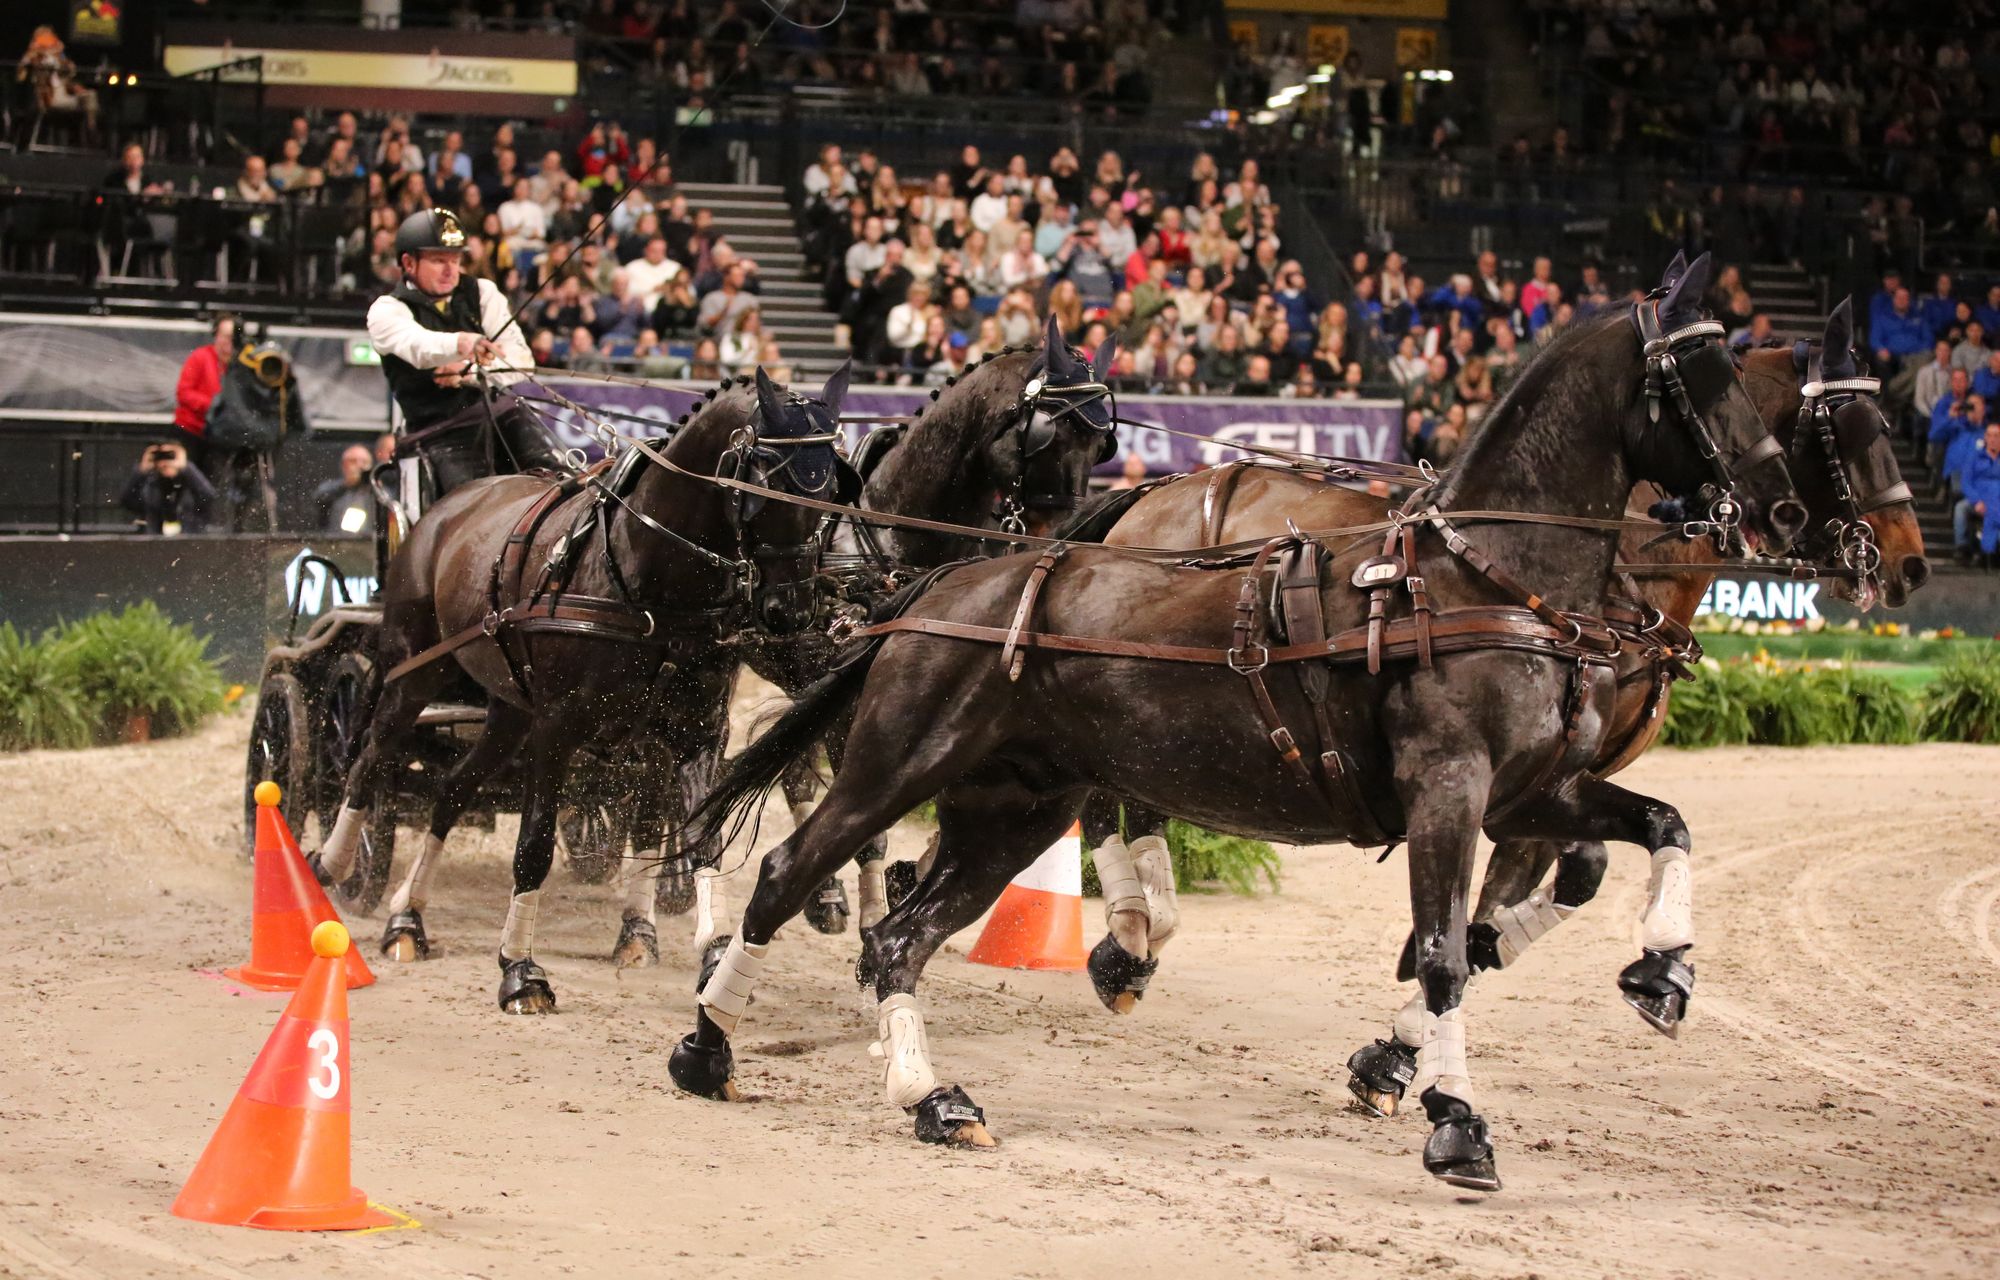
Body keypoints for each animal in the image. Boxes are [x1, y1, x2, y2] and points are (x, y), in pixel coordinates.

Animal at [664, 280, 1808, 1192]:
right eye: (1694, 378)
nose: (1781, 504)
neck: (1473, 578)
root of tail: (949, 581)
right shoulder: (1449, 786)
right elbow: (1443, 954)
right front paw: (1454, 1121)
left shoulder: (1533, 789)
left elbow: (1661, 825)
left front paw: (1663, 971)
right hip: (894, 766)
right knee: (787, 876)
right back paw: (707, 1047)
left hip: (1011, 808)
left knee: (901, 936)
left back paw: (933, 1097)